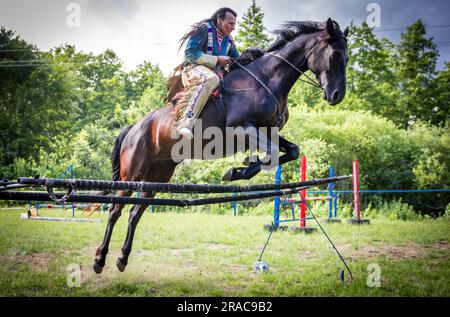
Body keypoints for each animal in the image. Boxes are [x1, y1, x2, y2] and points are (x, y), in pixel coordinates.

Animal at [93, 18, 350, 272]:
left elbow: (290, 151)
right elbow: (273, 152)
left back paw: (122, 258)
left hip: (158, 176)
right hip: (132, 174)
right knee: (115, 210)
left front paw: (243, 167)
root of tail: (133, 128)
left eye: (347, 58)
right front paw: (238, 170)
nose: (337, 95)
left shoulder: (268, 131)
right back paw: (100, 258)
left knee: (135, 212)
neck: (267, 80)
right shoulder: (242, 128)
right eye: (335, 55)